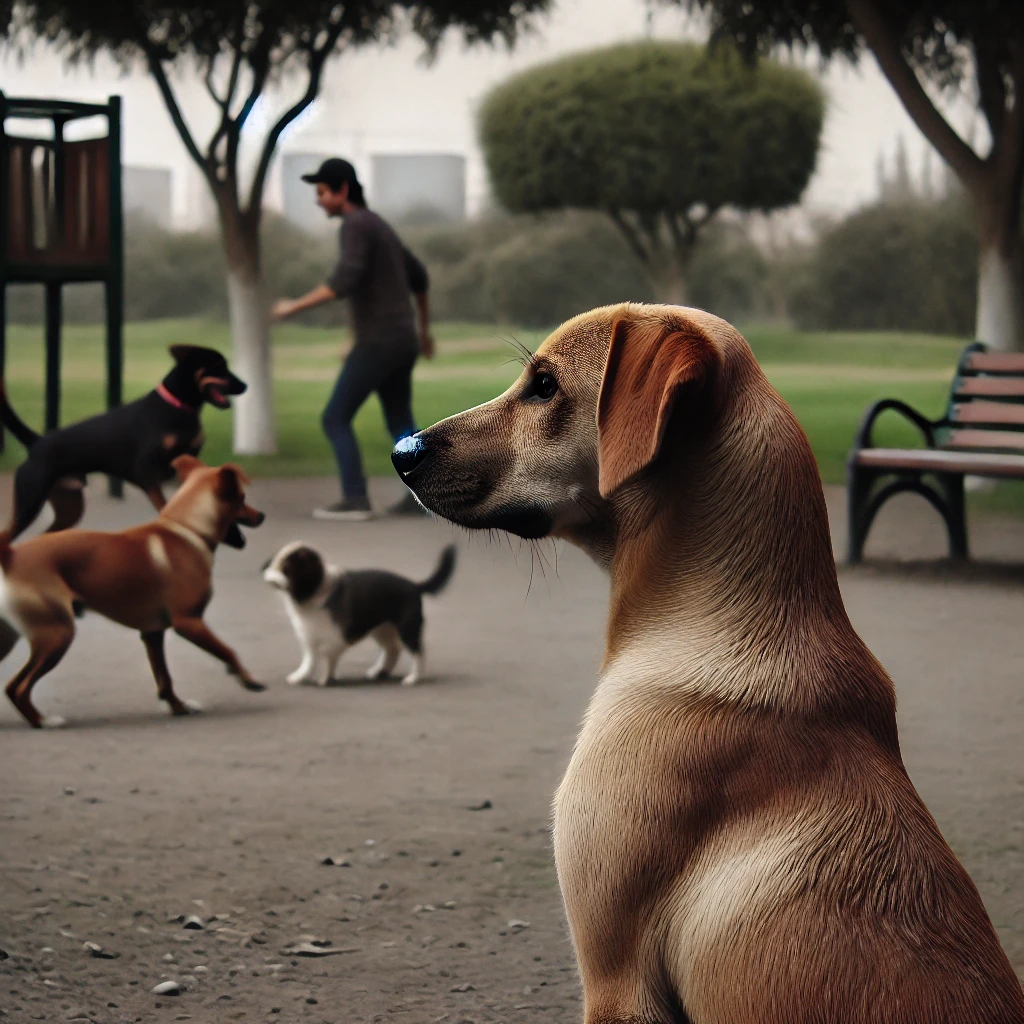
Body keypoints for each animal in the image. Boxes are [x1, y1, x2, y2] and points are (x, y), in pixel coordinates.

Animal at [0, 342, 247, 552]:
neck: (178, 407)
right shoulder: (145, 471)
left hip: (69, 506)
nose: (245, 386)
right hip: (30, 501)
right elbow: (163, 501)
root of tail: (36, 443)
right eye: (219, 367)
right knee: (8, 536)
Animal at [0, 456, 268, 729]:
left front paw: (178, 707)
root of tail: (10, 556)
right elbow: (227, 651)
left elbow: (164, 678)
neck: (187, 528)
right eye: (241, 497)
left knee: (10, 687)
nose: (262, 515)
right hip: (57, 635)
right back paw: (44, 721)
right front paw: (248, 679)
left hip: (13, 640)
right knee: (19, 687)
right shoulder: (189, 623)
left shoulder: (152, 634)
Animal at [264, 544, 456, 688]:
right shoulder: (310, 636)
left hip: (407, 628)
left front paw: (326, 678)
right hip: (383, 629)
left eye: (286, 569)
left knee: (417, 652)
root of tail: (415, 586)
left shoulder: (334, 638)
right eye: (274, 563)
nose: (267, 576)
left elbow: (327, 658)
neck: (317, 591)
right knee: (392, 649)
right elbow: (309, 660)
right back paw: (378, 672)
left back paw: (413, 678)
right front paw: (299, 676)